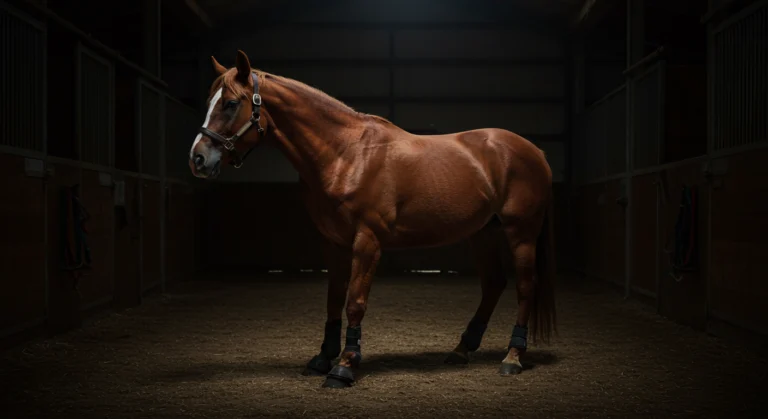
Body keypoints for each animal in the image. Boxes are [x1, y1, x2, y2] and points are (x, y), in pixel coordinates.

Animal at [189, 50, 557, 389]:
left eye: (230, 104)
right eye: (210, 102)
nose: (198, 159)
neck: (346, 154)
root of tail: (534, 151)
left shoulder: (367, 242)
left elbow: (354, 301)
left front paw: (344, 366)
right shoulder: (333, 243)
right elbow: (333, 299)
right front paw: (323, 358)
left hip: (520, 233)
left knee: (525, 285)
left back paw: (512, 357)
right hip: (482, 233)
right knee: (494, 284)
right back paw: (461, 350)